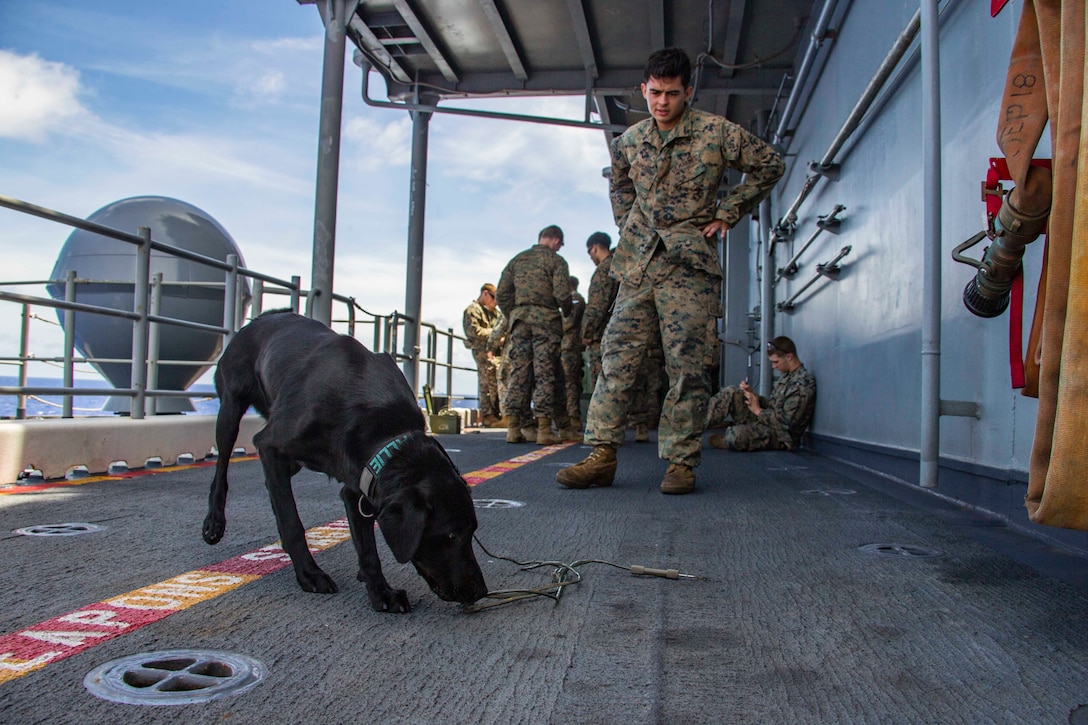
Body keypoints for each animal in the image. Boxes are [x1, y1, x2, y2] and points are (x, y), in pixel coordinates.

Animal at [203, 309, 489, 609]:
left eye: (472, 531)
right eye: (450, 535)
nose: (481, 591)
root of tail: (262, 318)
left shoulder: (362, 483)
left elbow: (367, 548)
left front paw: (380, 591)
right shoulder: (270, 447)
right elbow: (292, 522)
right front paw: (309, 574)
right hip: (232, 407)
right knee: (222, 468)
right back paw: (214, 522)